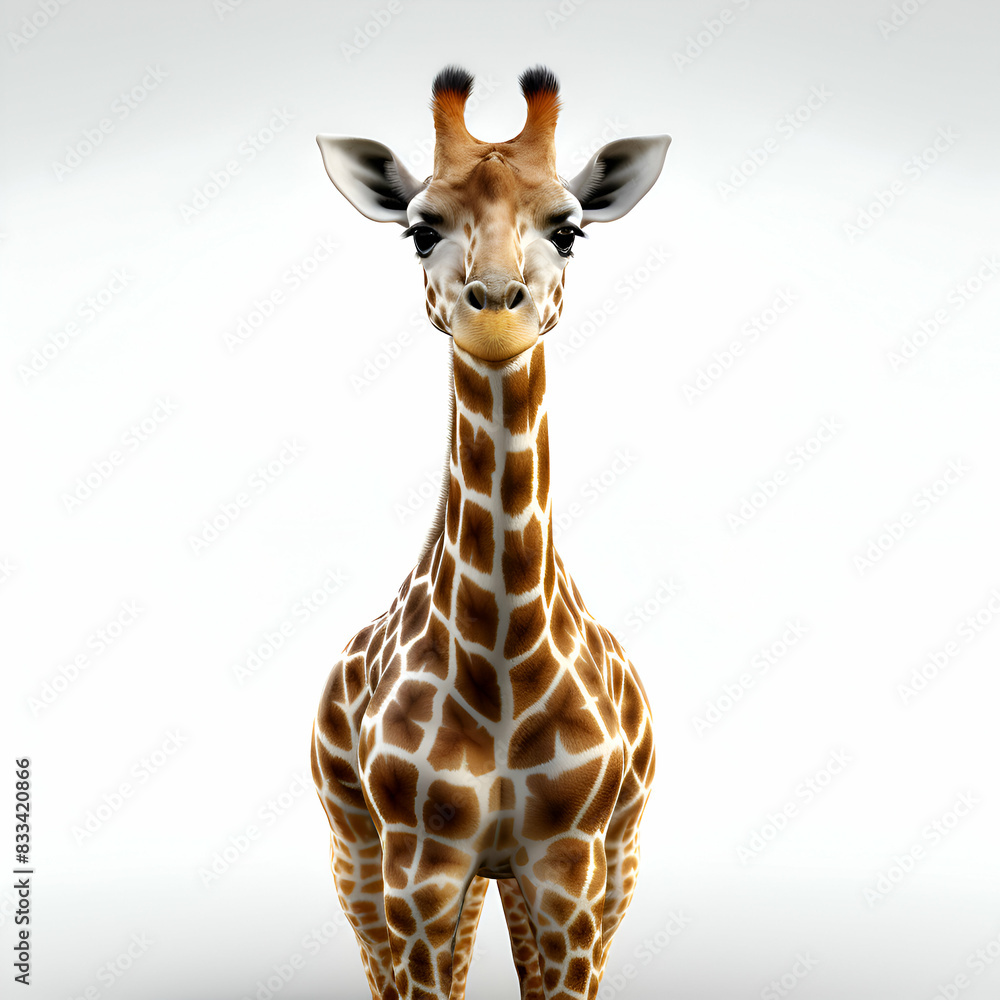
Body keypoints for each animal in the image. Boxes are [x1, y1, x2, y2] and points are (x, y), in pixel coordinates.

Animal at [311, 66, 670, 1000]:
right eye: (420, 231)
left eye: (570, 230)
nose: (498, 312)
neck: (504, 661)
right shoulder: (422, 872)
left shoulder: (570, 870)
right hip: (356, 855)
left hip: (609, 861)